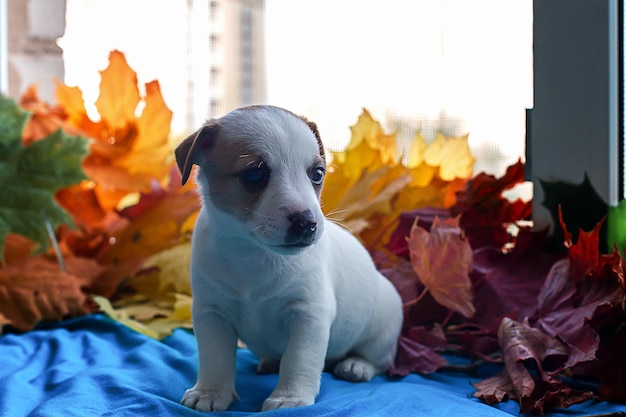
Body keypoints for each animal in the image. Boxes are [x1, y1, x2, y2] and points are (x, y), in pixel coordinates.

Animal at [173, 104, 402, 410]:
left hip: (381, 328)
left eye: (317, 173)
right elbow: (214, 359)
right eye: (254, 174)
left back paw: (357, 365)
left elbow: (298, 360)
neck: (254, 253)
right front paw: (210, 392)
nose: (307, 223)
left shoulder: (308, 315)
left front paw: (289, 398)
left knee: (380, 360)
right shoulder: (212, 314)